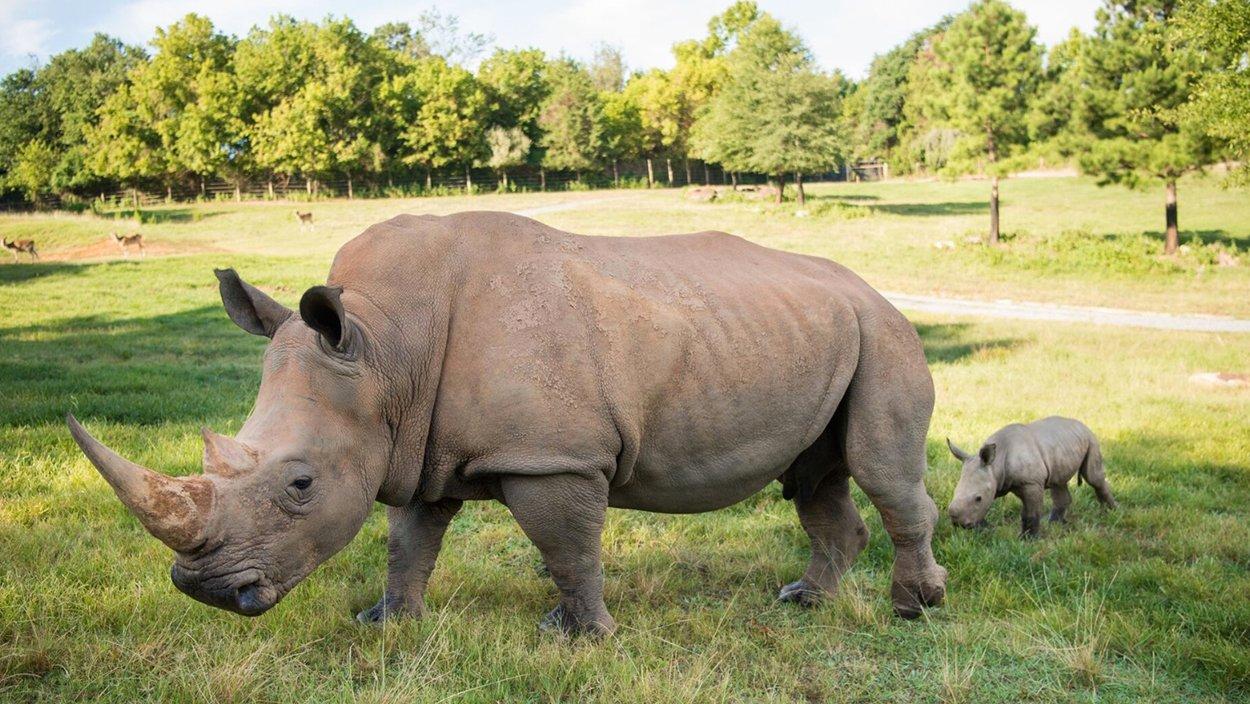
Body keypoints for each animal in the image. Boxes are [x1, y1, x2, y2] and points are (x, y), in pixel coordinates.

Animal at [945, 415, 1115, 537]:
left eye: (978, 498)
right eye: (954, 492)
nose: (958, 524)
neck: (996, 464)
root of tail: (1082, 424)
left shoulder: (1031, 483)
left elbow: (1030, 513)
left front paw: (1028, 539)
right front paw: (984, 529)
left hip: (1091, 439)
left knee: (1093, 477)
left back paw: (1112, 511)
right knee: (1058, 482)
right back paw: (1053, 523)